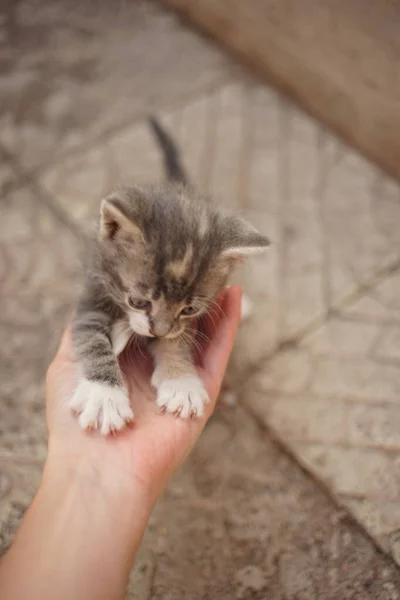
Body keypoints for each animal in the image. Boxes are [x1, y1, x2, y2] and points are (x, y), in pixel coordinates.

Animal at [70, 118, 270, 436]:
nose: (157, 332)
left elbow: (179, 338)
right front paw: (104, 396)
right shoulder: (92, 291)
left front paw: (180, 381)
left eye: (189, 309)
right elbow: (91, 338)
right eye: (138, 302)